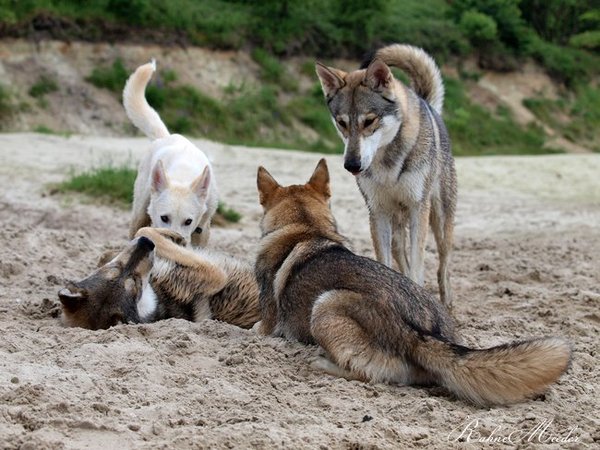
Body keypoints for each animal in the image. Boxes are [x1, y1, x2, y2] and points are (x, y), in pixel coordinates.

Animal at [122, 60, 218, 248]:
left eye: (188, 221)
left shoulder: (202, 228)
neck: (183, 175)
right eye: (164, 218)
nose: (175, 242)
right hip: (139, 212)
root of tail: (167, 136)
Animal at [316, 44, 458, 306]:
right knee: (401, 256)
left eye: (369, 121)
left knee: (443, 266)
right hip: (396, 228)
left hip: (440, 222)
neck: (387, 164)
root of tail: (427, 103)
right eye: (342, 123)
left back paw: (447, 304)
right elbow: (387, 264)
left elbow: (418, 266)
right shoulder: (378, 212)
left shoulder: (418, 209)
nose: (352, 165)